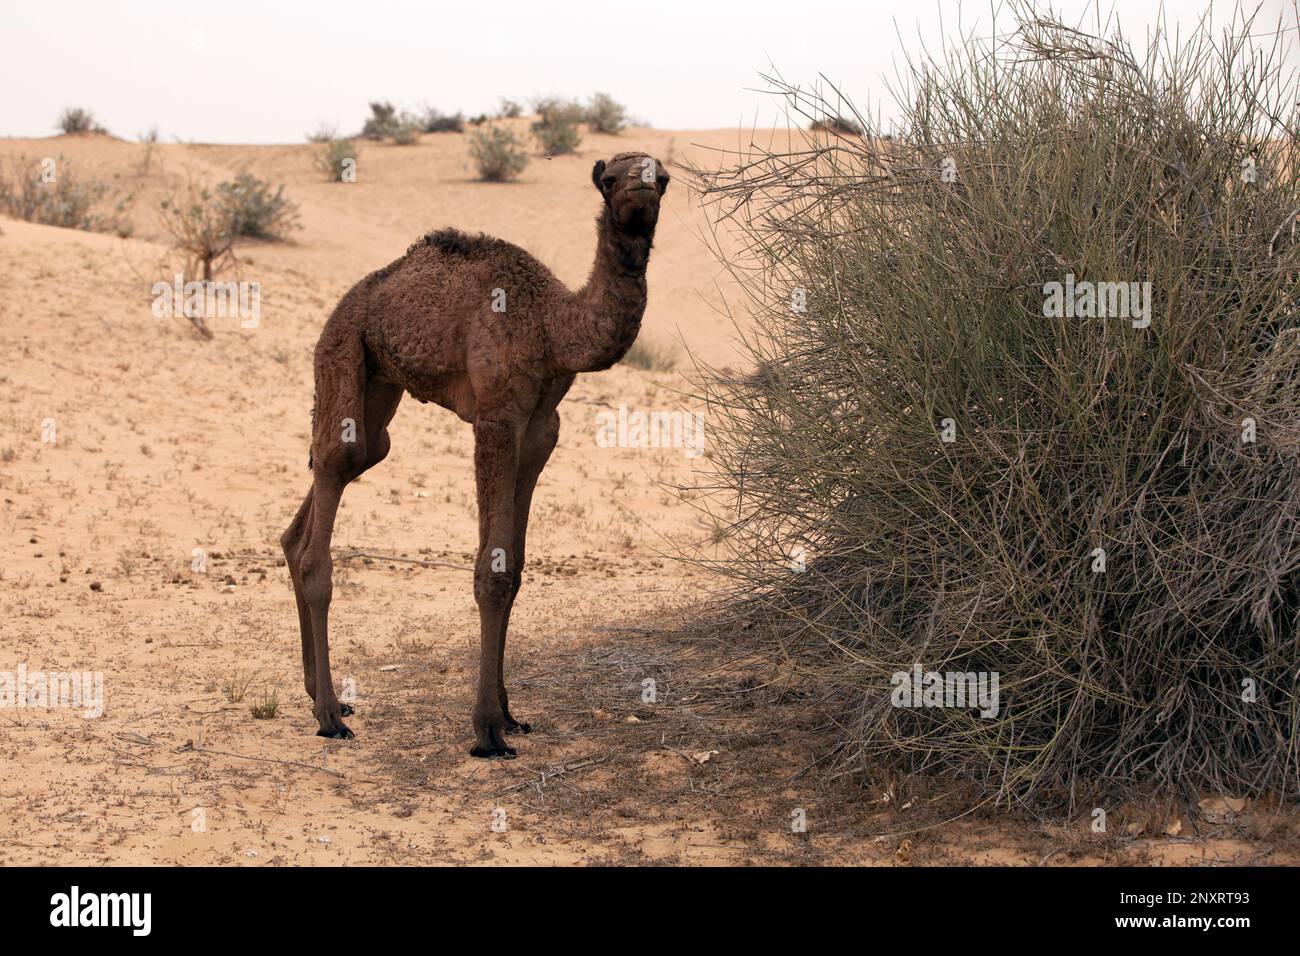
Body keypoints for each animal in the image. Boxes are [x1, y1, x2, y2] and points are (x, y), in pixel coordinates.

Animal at [284, 153, 670, 759]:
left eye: (665, 178)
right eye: (610, 180)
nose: (641, 187)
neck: (551, 324)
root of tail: (349, 300)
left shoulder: (542, 428)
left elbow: (514, 565)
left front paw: (510, 714)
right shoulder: (496, 417)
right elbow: (492, 570)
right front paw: (486, 731)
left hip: (379, 388)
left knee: (341, 476)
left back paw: (319, 694)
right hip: (341, 350)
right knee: (330, 481)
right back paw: (328, 714)